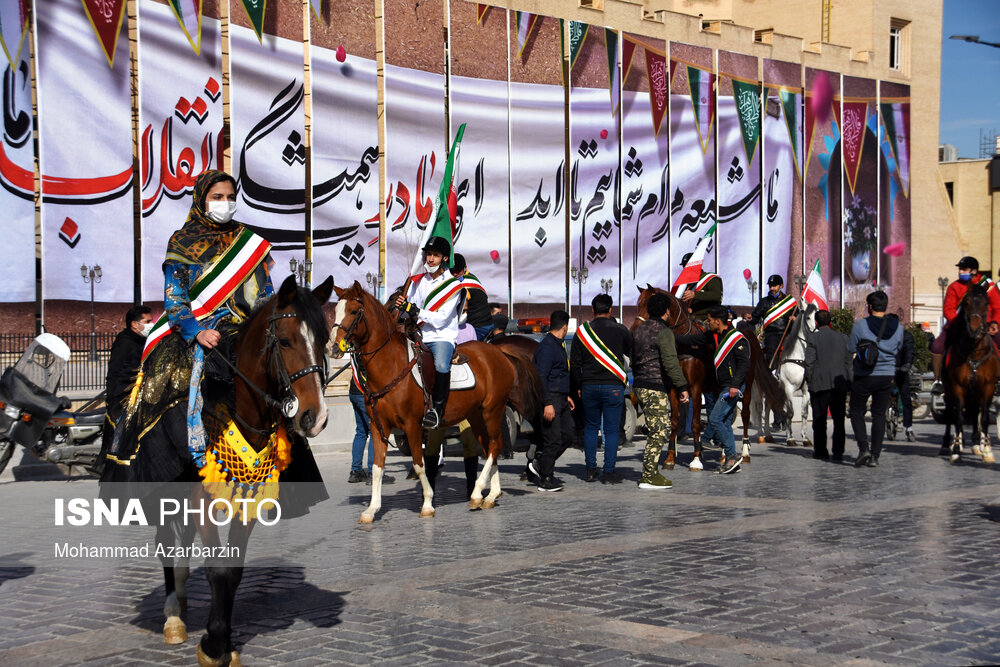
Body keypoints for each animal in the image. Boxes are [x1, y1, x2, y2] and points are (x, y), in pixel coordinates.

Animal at [103, 274, 334, 664]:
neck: (235, 402)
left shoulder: (250, 495)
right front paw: (213, 644)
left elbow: (234, 570)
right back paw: (173, 616)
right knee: (166, 544)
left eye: (324, 340)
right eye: (285, 341)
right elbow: (216, 568)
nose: (314, 417)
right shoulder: (200, 500)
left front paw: (224, 641)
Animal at [330, 280, 544, 520]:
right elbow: (377, 467)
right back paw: (490, 495)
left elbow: (419, 463)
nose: (332, 346)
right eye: (335, 311)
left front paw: (427, 503)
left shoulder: (412, 426)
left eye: (353, 311)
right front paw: (372, 509)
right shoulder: (379, 426)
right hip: (476, 414)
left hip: (492, 410)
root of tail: (500, 352)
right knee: (490, 446)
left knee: (496, 445)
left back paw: (478, 492)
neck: (390, 366)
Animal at [632, 288, 788, 470]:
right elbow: (675, 421)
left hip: (745, 387)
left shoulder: (695, 389)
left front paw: (696, 459)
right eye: (638, 305)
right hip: (719, 389)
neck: (685, 348)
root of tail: (749, 335)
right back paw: (724, 454)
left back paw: (744, 452)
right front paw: (670, 458)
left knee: (746, 415)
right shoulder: (673, 390)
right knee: (722, 417)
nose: (634, 330)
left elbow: (695, 423)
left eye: (649, 307)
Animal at [940, 282, 996, 464]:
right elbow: (958, 416)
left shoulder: (988, 387)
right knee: (950, 413)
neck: (974, 351)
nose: (974, 329)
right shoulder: (957, 387)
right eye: (966, 303)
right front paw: (956, 449)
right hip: (949, 390)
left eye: (986, 303)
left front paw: (987, 450)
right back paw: (947, 444)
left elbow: (983, 417)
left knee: (975, 412)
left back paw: (977, 444)